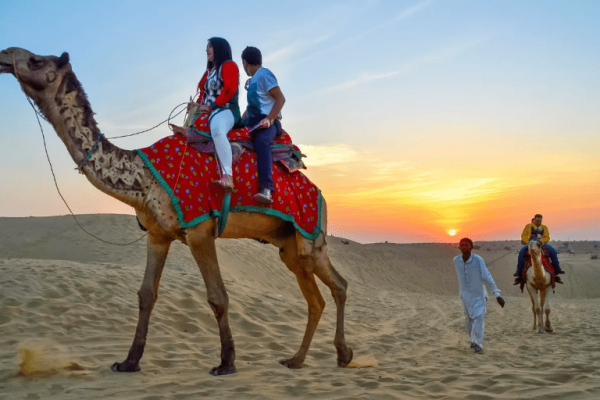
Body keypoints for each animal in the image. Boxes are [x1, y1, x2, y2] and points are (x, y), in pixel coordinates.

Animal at [0, 47, 354, 376]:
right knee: (316, 298)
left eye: (35, 60)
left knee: (338, 285)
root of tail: (319, 193)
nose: (4, 55)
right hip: (288, 245)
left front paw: (226, 363)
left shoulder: (199, 230)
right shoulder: (158, 235)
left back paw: (342, 354)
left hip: (310, 235)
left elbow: (217, 296)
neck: (143, 176)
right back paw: (297, 360)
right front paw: (128, 361)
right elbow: (146, 295)